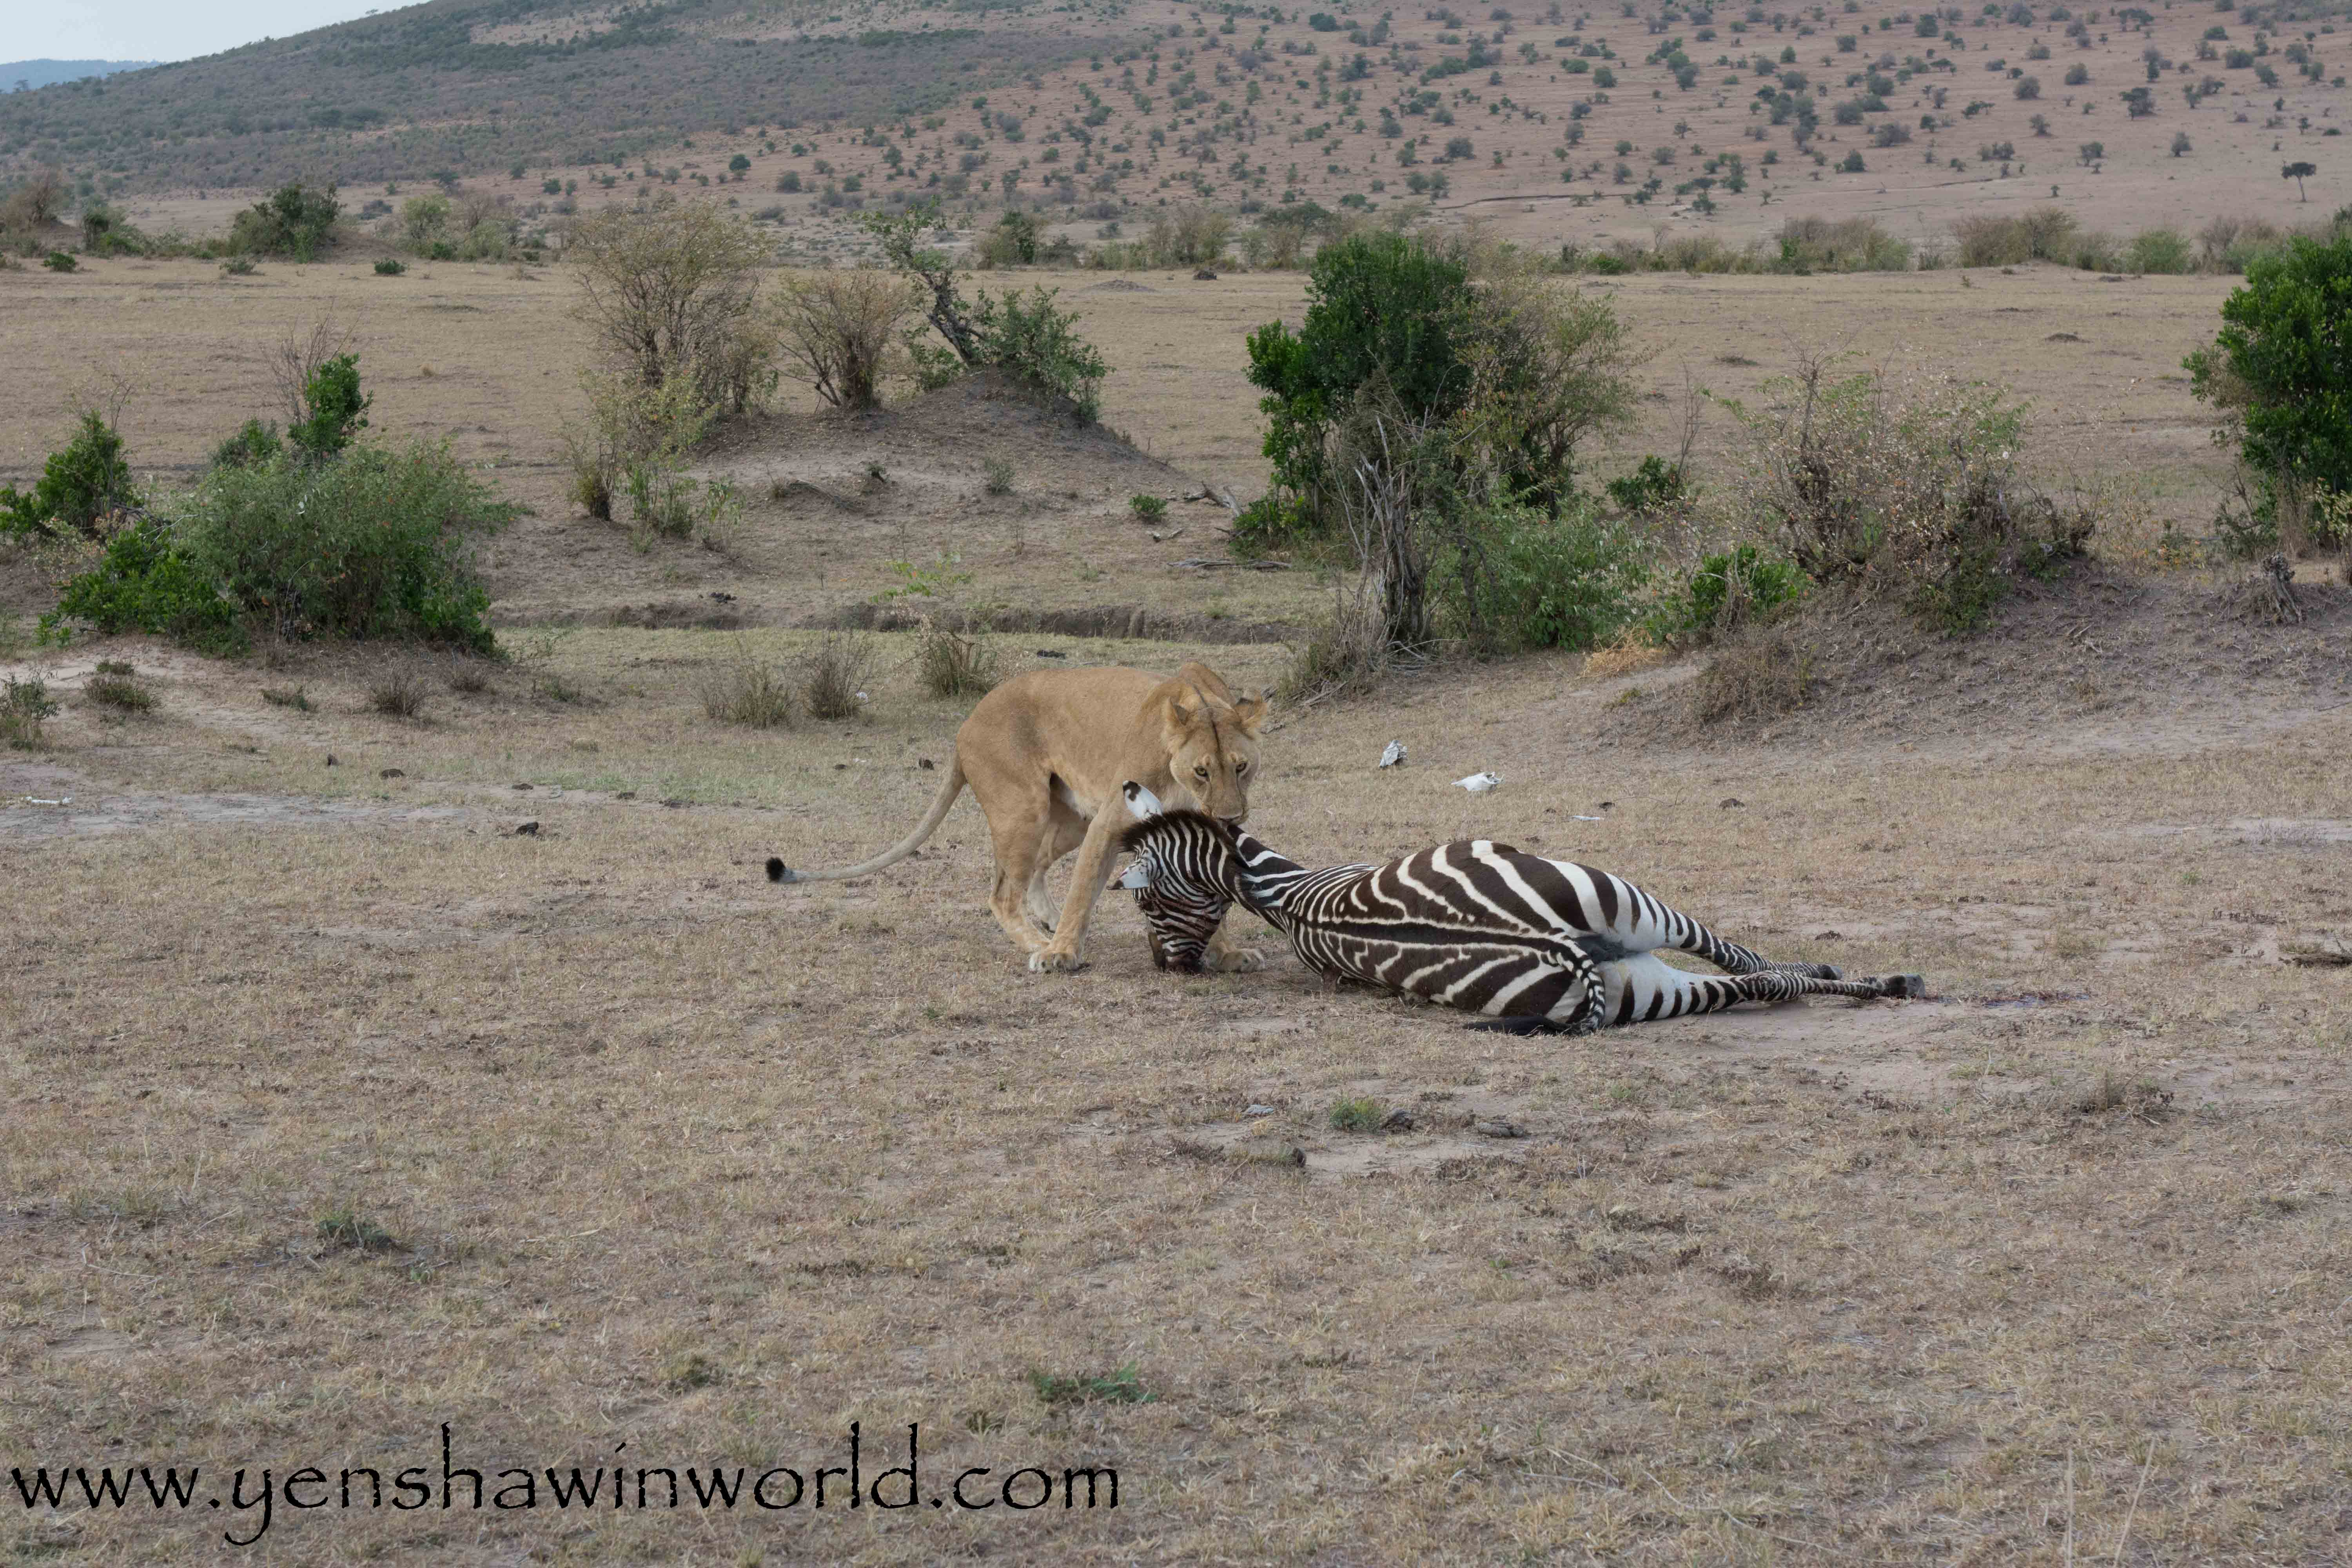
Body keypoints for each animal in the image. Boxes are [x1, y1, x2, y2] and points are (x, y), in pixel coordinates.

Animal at [765, 661, 1269, 973]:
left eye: (1241, 767)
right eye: (1202, 771)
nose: (1230, 816)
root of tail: (966, 724)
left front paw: (1228, 952)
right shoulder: (1109, 821)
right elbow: (1083, 890)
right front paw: (1062, 954)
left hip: (1068, 817)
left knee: (1035, 868)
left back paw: (1046, 921)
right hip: (1024, 810)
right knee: (1002, 894)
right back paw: (1041, 944)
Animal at [1112, 781, 1924, 1033]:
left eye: (1147, 901)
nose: (1169, 970)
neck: (1283, 894)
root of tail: (1546, 941)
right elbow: (1751, 958)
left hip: (1635, 967)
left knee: (1754, 977)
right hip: (1635, 921)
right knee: (1752, 972)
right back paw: (1880, 981)